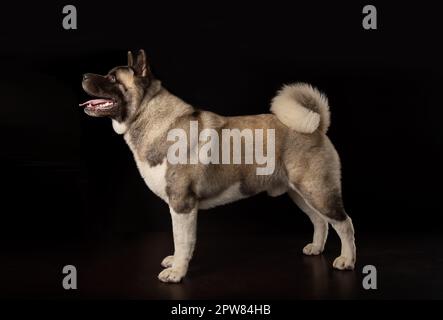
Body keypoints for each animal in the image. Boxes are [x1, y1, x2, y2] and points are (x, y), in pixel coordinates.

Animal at [80, 49, 358, 282]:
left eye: (112, 78)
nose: (83, 75)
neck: (150, 114)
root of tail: (317, 126)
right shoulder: (178, 207)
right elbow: (177, 239)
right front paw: (175, 263)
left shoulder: (182, 205)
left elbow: (182, 240)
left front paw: (177, 272)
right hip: (300, 193)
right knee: (320, 221)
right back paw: (316, 248)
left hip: (317, 191)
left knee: (344, 223)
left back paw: (346, 260)